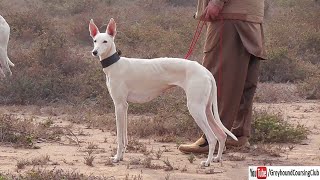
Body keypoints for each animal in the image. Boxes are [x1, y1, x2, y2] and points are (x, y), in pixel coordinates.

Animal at [89, 17, 236, 166]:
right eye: (95, 40)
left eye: (105, 41)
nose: (94, 52)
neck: (115, 64)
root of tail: (206, 71)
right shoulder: (124, 106)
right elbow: (124, 137)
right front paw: (121, 156)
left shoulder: (119, 105)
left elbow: (119, 137)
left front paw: (117, 157)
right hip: (206, 109)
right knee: (221, 135)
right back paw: (217, 158)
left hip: (195, 108)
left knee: (212, 137)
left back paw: (207, 162)